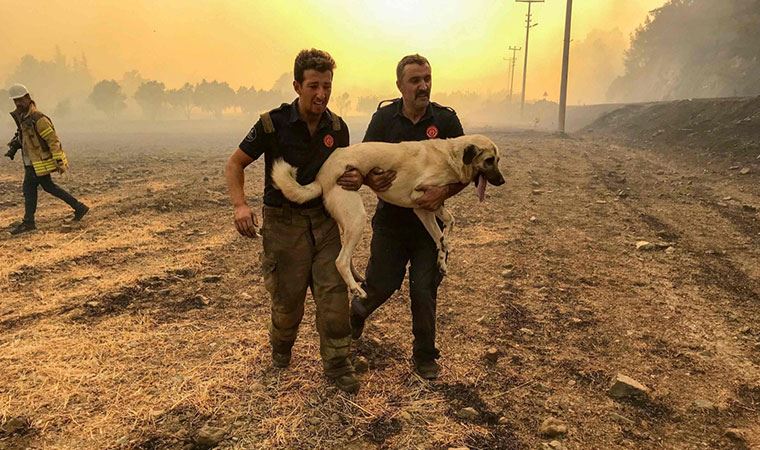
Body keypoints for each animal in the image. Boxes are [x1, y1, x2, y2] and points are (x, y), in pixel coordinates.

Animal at [272, 135, 504, 300]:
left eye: (498, 160)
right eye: (489, 160)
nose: (502, 181)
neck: (452, 156)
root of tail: (322, 176)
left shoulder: (425, 208)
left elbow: (445, 227)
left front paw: (442, 258)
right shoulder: (420, 199)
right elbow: (446, 226)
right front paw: (445, 246)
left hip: (348, 221)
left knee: (345, 255)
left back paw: (356, 279)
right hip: (357, 219)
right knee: (340, 260)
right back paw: (356, 290)